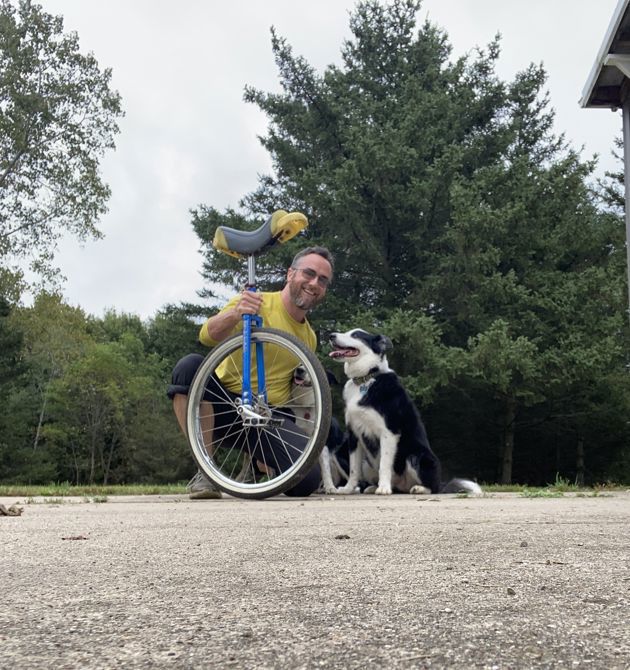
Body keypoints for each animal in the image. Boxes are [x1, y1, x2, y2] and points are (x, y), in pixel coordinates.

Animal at [328, 332, 482, 498]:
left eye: (356, 335)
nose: (331, 335)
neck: (366, 379)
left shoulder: (389, 432)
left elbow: (384, 464)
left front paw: (383, 488)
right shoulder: (354, 435)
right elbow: (353, 469)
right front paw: (348, 489)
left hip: (417, 457)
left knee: (433, 488)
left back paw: (418, 488)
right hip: (367, 463)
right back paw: (374, 487)